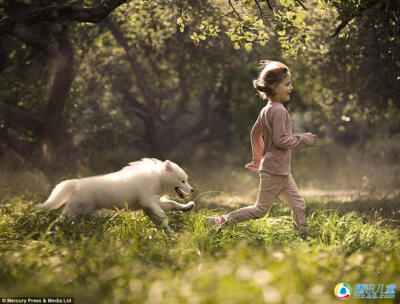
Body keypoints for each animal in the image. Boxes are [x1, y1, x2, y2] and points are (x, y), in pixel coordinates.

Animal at [38, 158, 195, 232]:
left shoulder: (154, 202)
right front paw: (171, 233)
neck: (158, 177)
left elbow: (173, 204)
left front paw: (187, 207)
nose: (192, 190)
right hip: (75, 210)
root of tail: (77, 183)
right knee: (61, 219)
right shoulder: (149, 202)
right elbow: (163, 217)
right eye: (183, 181)